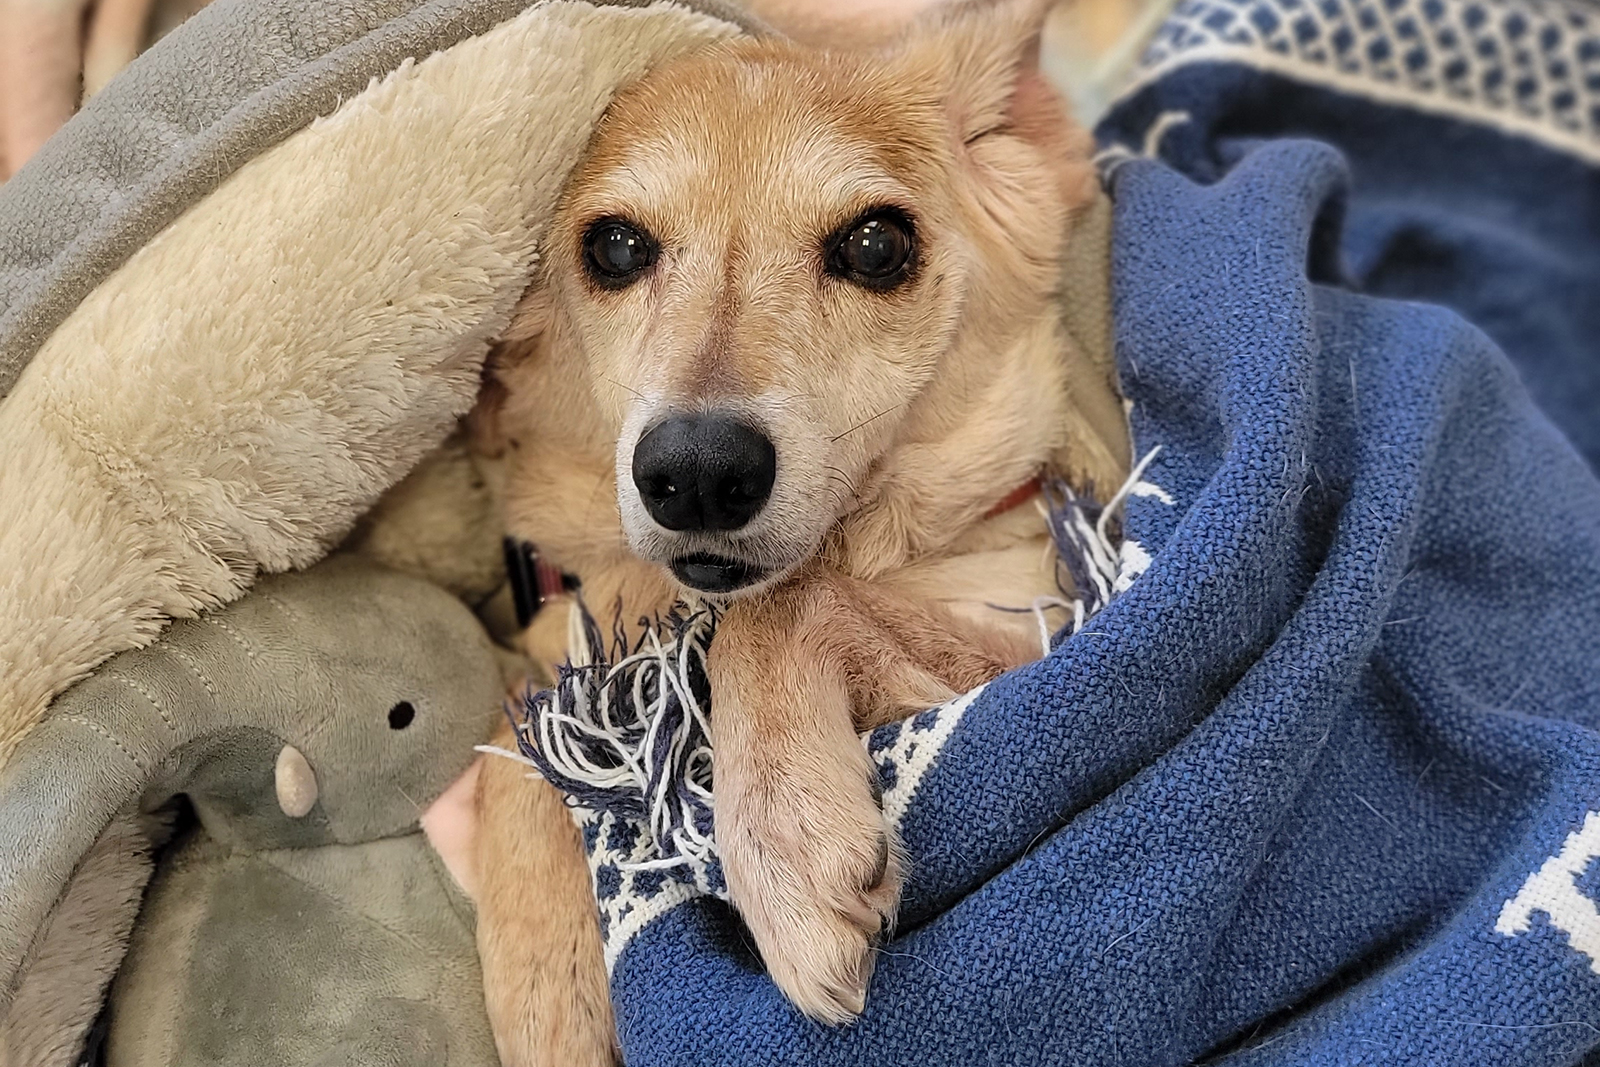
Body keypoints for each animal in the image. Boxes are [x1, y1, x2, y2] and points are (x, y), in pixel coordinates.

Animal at [467, 2, 1132, 1062]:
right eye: (614, 247)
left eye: (876, 246)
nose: (698, 472)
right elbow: (515, 734)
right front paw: (548, 986)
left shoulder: (1046, 633)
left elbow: (777, 610)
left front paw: (786, 840)